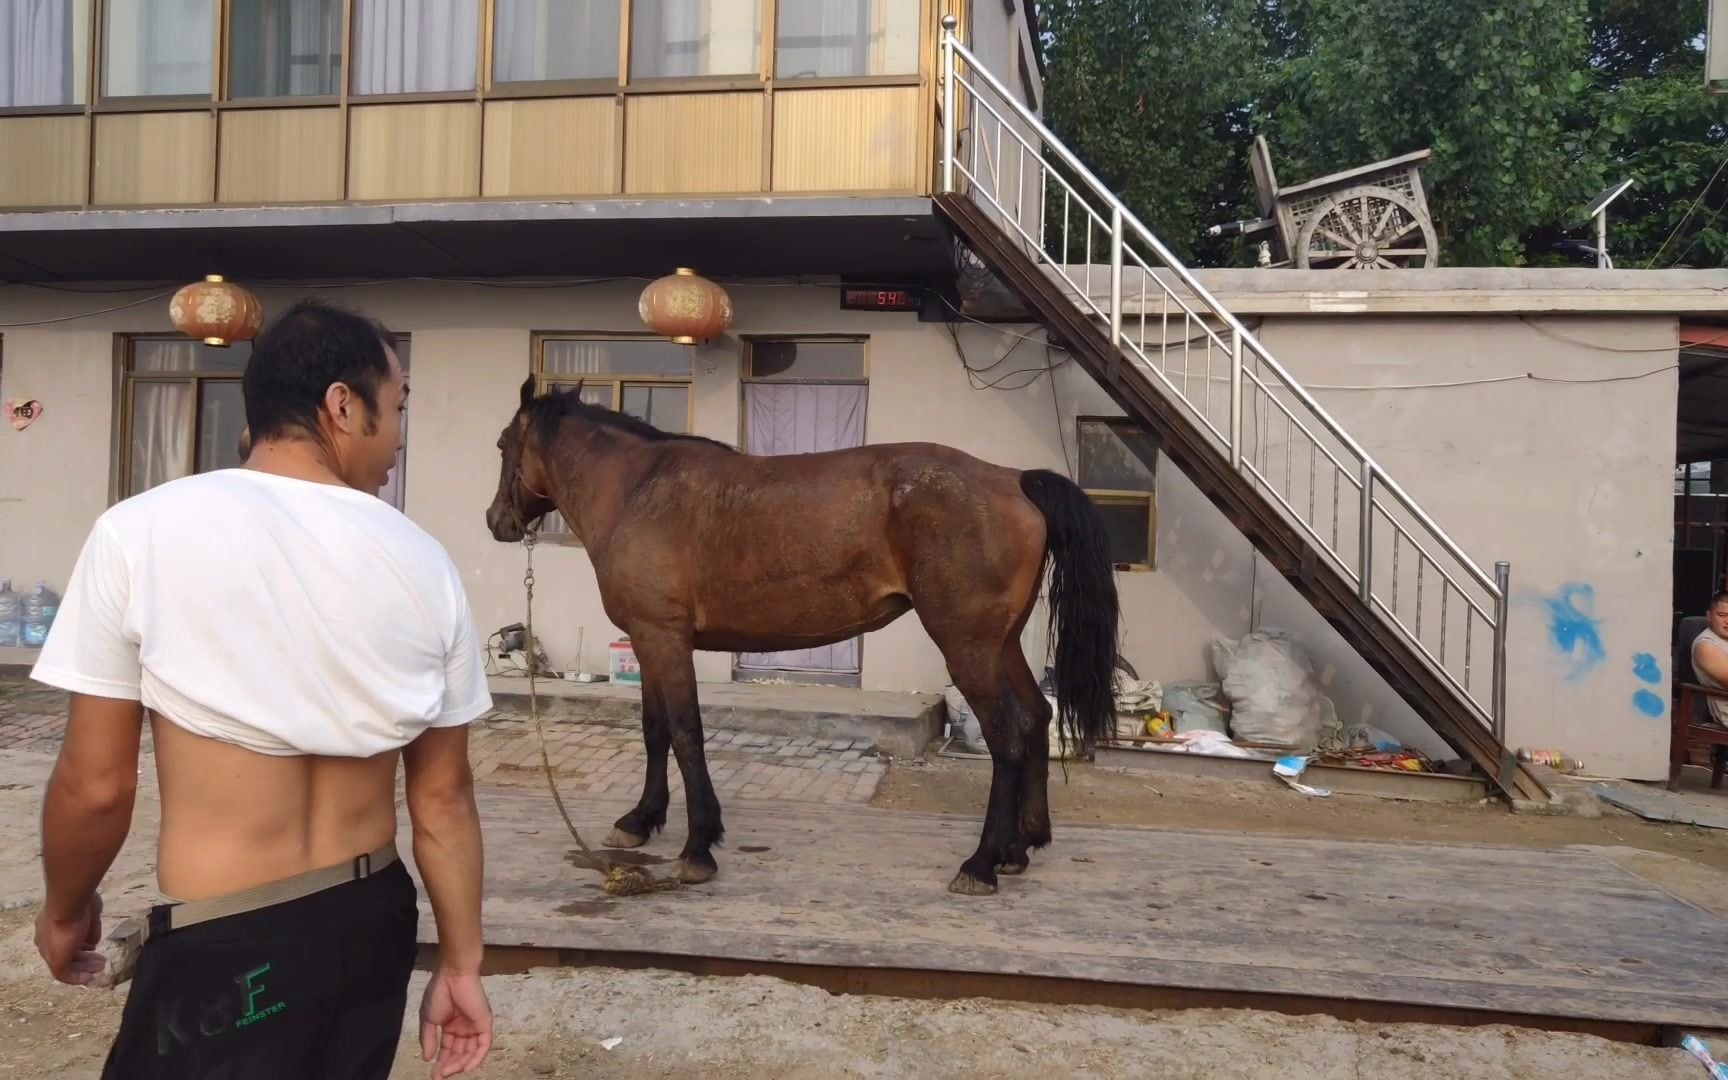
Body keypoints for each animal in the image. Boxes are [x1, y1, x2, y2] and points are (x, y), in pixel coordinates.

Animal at [483, 378, 1119, 891]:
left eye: (501, 445)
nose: (496, 521)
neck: (639, 490)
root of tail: (1013, 480)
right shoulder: (649, 640)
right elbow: (655, 730)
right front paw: (640, 821)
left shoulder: (663, 638)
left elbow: (686, 733)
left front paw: (698, 846)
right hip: (999, 644)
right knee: (1036, 718)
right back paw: (1020, 849)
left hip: (968, 647)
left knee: (1006, 736)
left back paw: (981, 864)